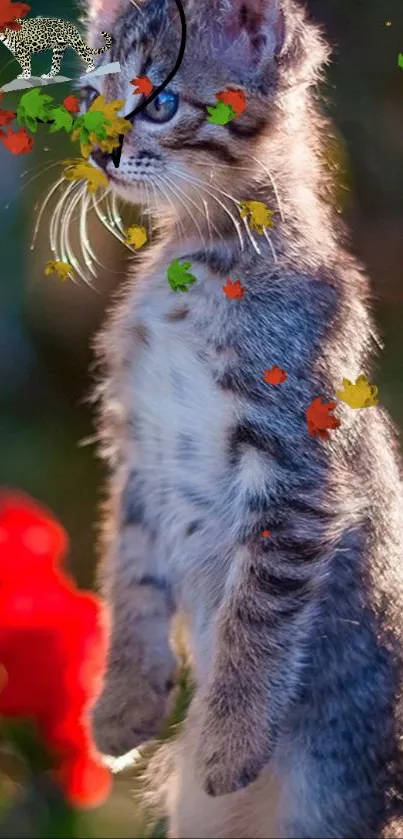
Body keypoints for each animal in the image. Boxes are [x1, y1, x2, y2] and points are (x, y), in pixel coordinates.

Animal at [83, 0, 403, 836]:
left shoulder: (296, 471)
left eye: (158, 102)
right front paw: (124, 701)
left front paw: (227, 739)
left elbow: (256, 616)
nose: (97, 151)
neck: (198, 260)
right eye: (91, 94)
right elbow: (129, 569)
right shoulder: (138, 448)